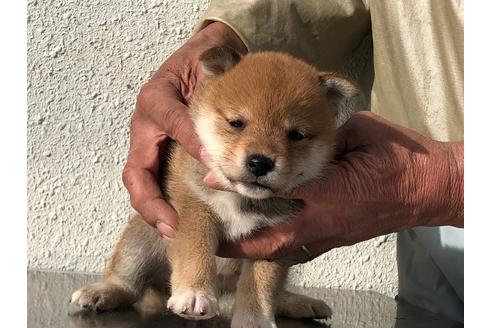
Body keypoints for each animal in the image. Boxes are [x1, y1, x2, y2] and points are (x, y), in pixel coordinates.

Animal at [70, 46, 358, 328]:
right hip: (141, 239)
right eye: (237, 123)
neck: (240, 198)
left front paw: (255, 320)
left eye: (296, 135)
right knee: (129, 282)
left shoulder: (276, 240)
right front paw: (194, 293)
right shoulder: (194, 208)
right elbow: (196, 250)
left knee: (274, 291)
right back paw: (103, 291)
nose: (260, 162)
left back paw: (296, 301)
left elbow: (262, 284)